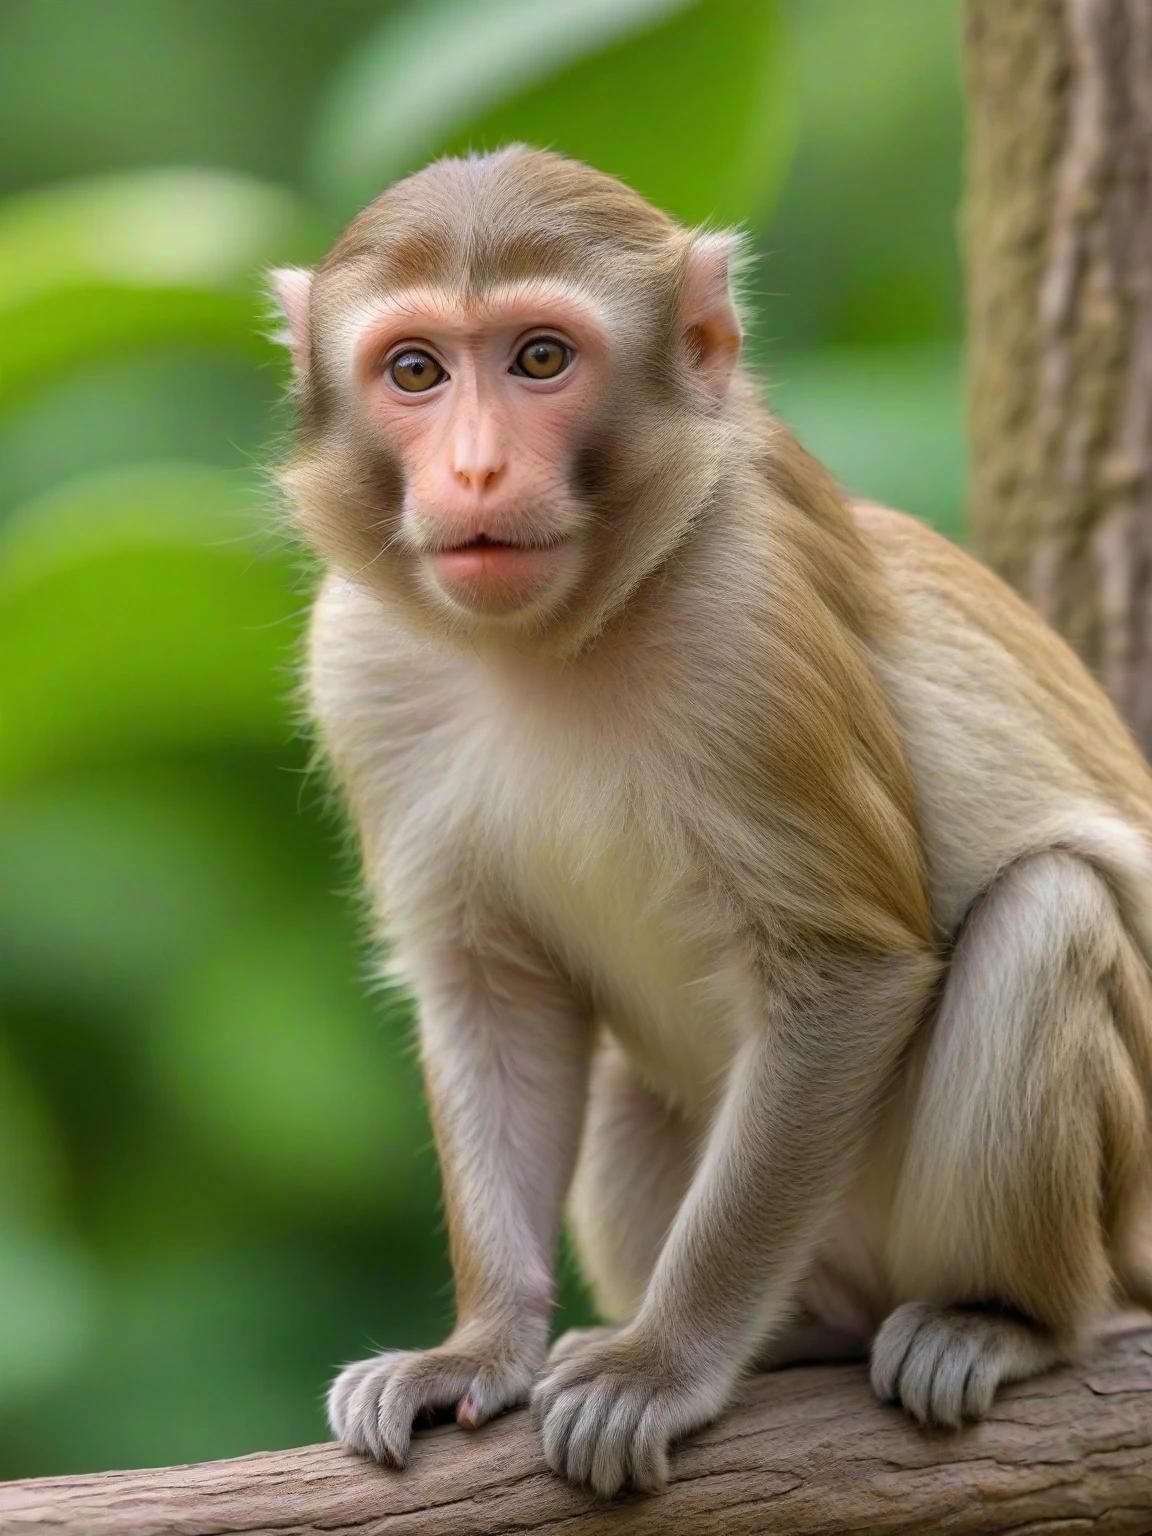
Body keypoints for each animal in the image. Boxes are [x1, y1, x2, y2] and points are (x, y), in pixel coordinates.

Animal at [270, 147, 1152, 1497]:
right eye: (415, 371)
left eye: (541, 358)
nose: (472, 474)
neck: (557, 646)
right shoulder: (361, 663)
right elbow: (491, 986)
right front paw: (476, 1348)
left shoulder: (752, 631)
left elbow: (849, 976)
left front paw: (662, 1364)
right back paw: (797, 1336)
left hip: (1100, 1220)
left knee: (1050, 914)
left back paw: (1001, 1320)